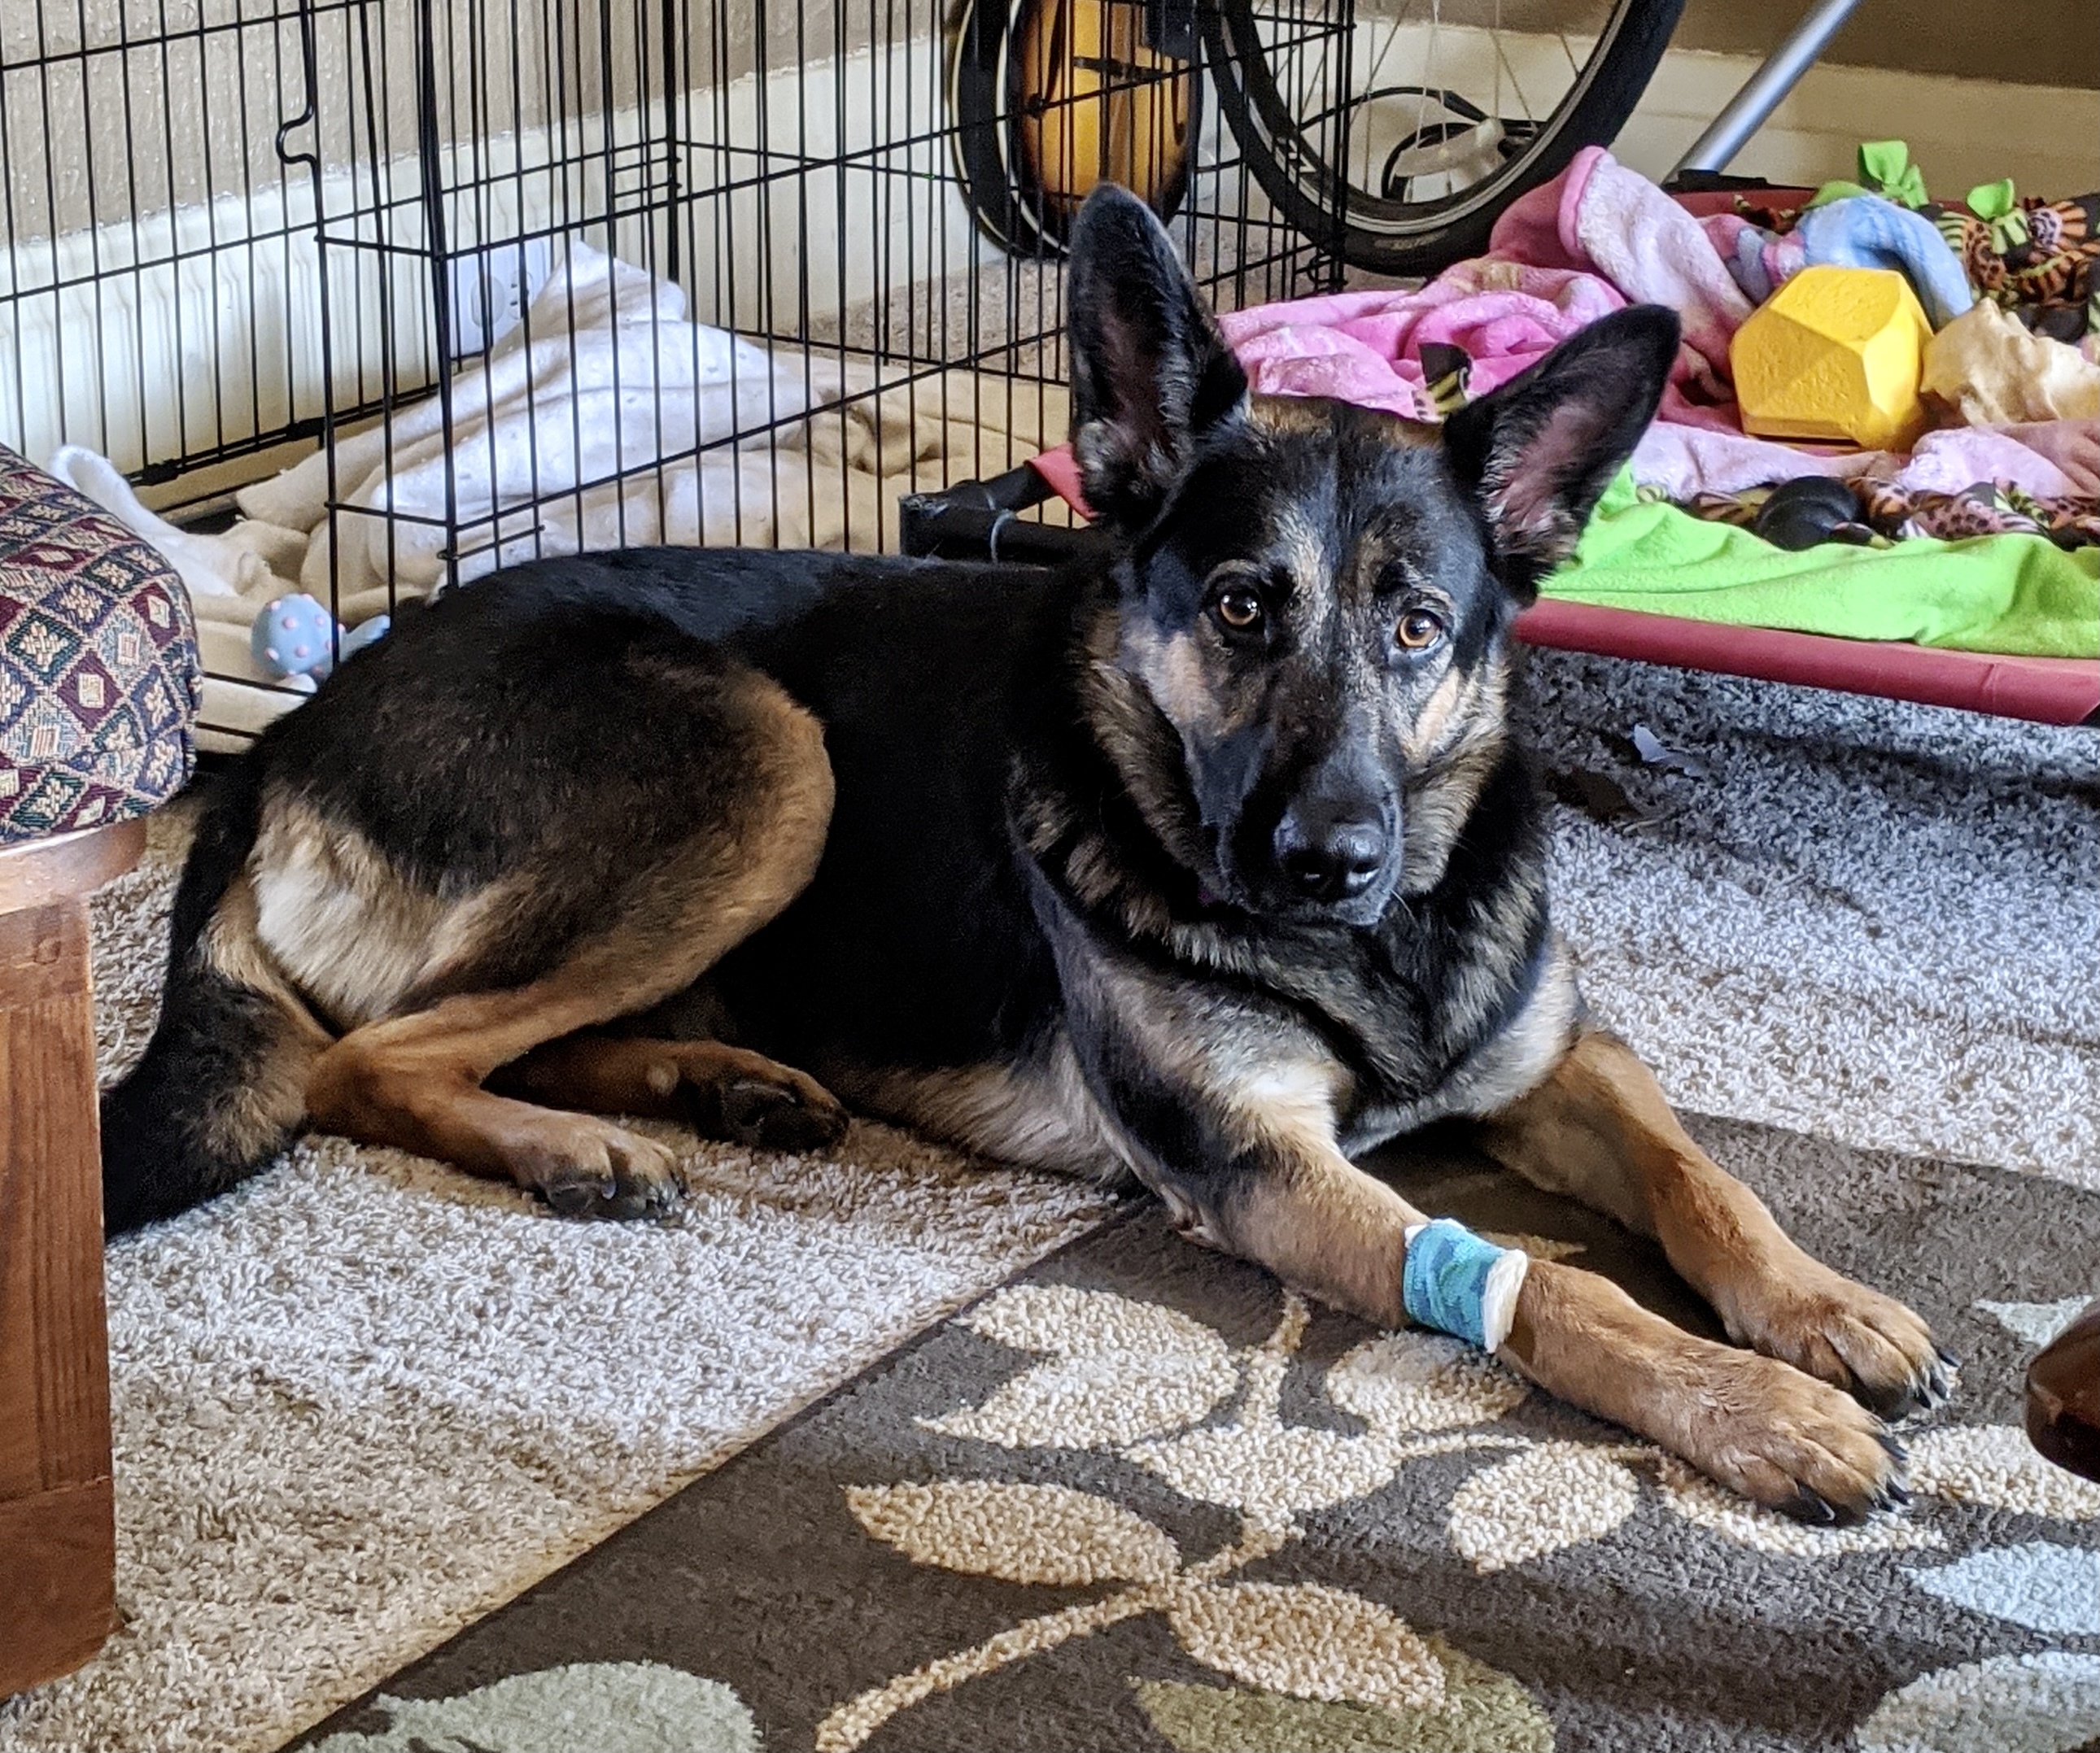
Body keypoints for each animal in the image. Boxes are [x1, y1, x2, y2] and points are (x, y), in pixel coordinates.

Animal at [106, 185, 1949, 1511]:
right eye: (1242, 608)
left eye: (1419, 624)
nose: (1331, 860)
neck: (1380, 949)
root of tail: (285, 731)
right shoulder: (1266, 1173)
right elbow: (1552, 1290)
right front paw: (1753, 1406)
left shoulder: (1560, 1062)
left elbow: (1702, 1175)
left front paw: (1823, 1308)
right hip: (763, 757)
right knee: (373, 1060)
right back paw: (583, 1145)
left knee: (501, 1030)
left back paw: (714, 1086)